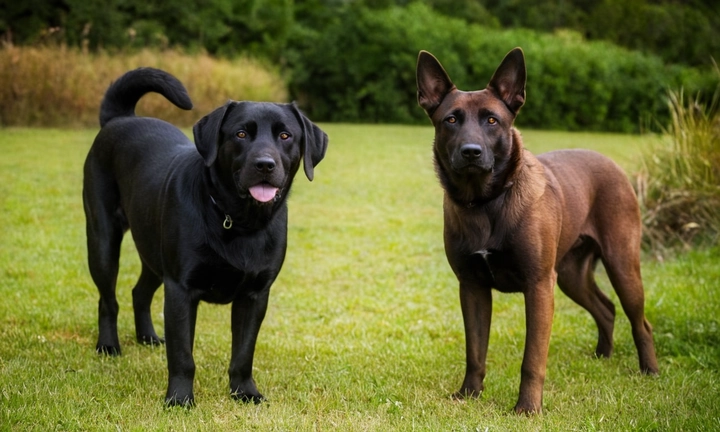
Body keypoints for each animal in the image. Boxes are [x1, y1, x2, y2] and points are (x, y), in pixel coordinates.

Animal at [83, 66, 328, 404]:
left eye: (285, 135)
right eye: (241, 134)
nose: (264, 164)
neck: (238, 221)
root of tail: (119, 119)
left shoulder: (255, 295)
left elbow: (243, 352)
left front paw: (245, 392)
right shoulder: (181, 289)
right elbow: (183, 355)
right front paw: (179, 398)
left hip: (153, 253)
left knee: (139, 292)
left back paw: (148, 337)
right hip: (103, 240)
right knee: (108, 299)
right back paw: (108, 346)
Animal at [416, 49, 660, 414]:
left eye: (492, 121)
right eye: (451, 120)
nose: (471, 151)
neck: (487, 203)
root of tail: (612, 164)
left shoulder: (539, 286)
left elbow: (532, 358)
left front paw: (528, 408)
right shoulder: (472, 287)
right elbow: (475, 351)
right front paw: (469, 394)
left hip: (621, 264)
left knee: (640, 322)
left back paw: (650, 371)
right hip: (571, 275)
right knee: (606, 308)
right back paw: (602, 357)